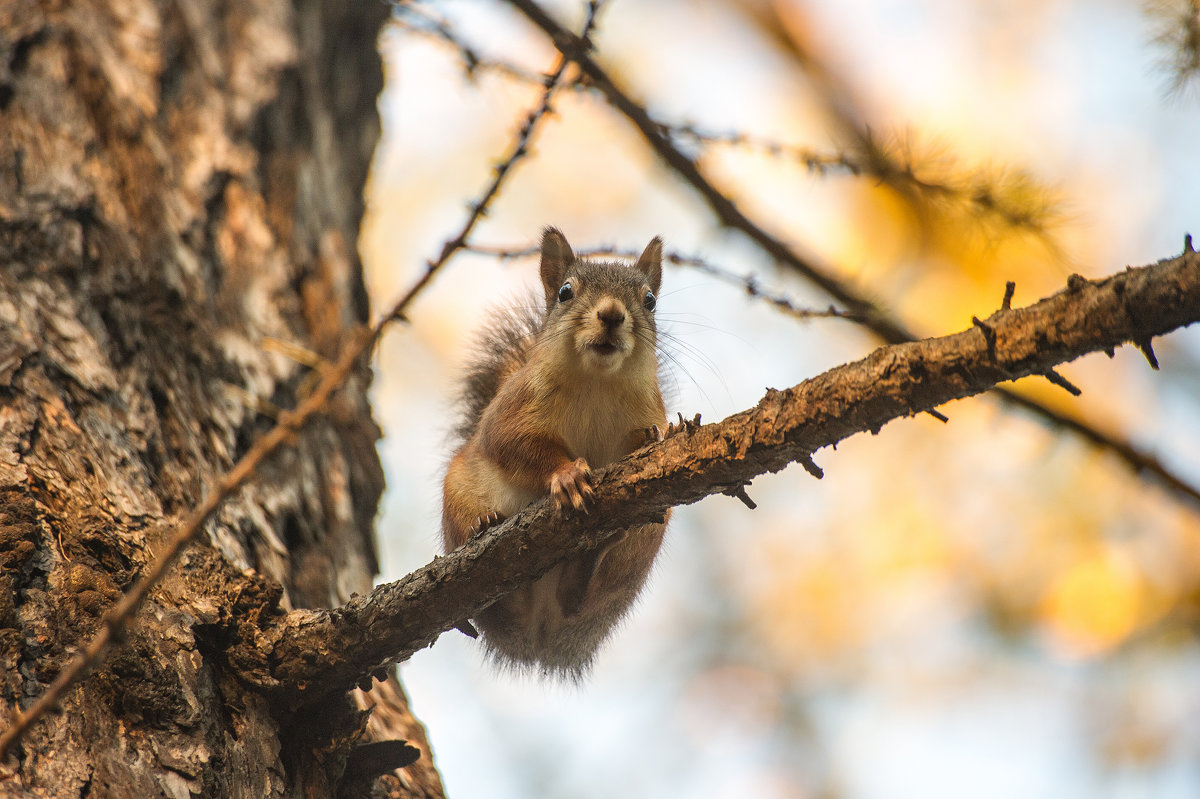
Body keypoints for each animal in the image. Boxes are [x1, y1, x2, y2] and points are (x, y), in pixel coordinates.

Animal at [441, 226, 672, 676]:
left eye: (650, 300)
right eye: (566, 292)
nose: (611, 314)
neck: (597, 380)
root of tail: (541, 638)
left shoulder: (649, 406)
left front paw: (652, 439)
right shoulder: (513, 409)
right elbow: (515, 445)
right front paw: (566, 476)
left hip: (637, 550)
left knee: (575, 599)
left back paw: (592, 553)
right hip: (459, 495)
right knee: (499, 606)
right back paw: (484, 528)